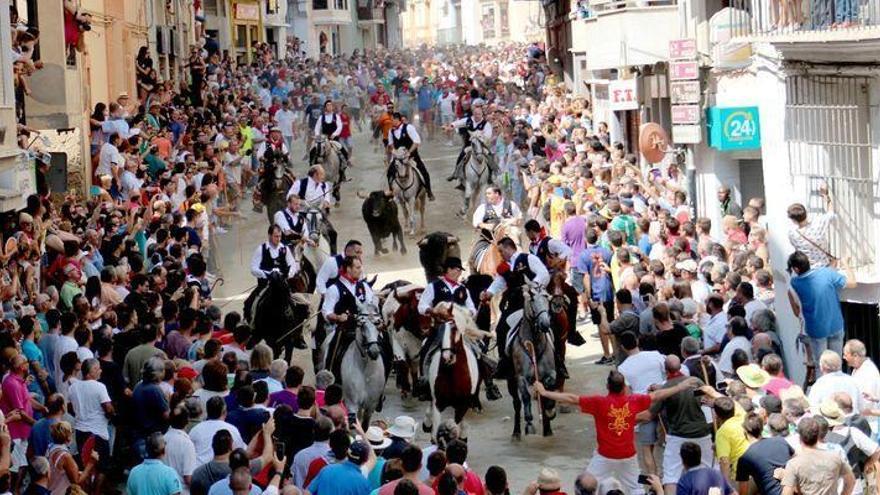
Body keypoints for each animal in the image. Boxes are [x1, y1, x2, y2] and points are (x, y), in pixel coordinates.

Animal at [340, 300, 384, 428]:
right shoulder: (352, 403)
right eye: (362, 324)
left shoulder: (371, 405)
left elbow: (364, 426)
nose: (374, 351)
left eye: (377, 323)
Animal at [422, 302, 492, 442]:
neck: (452, 374)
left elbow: (455, 426)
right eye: (438, 328)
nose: (447, 357)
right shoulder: (439, 402)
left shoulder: (462, 405)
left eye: (454, 328)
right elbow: (436, 432)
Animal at [506, 284, 560, 440]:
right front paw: (529, 423)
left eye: (547, 297)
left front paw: (550, 410)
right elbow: (525, 396)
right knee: (517, 403)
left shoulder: (550, 373)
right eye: (531, 298)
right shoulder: (521, 377)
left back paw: (547, 429)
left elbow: (550, 387)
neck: (534, 345)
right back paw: (516, 432)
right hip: (510, 381)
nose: (544, 323)